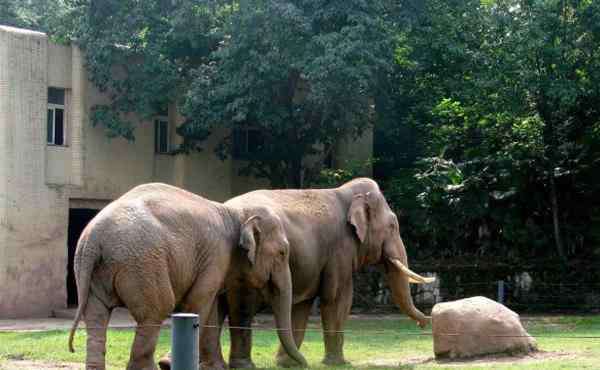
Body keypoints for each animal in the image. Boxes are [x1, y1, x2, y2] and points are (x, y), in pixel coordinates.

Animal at [68, 183, 308, 370]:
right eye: (282, 253)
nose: (304, 363)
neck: (232, 212)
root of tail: (94, 238)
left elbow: (211, 309)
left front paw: (215, 368)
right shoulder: (216, 255)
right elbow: (198, 303)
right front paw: (167, 364)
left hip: (94, 270)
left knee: (96, 315)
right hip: (143, 264)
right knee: (156, 310)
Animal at [157, 178, 434, 368]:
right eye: (393, 225)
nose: (425, 323)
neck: (344, 192)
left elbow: (301, 304)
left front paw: (287, 364)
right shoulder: (340, 250)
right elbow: (337, 299)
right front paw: (336, 364)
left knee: (216, 307)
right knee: (241, 308)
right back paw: (240, 365)